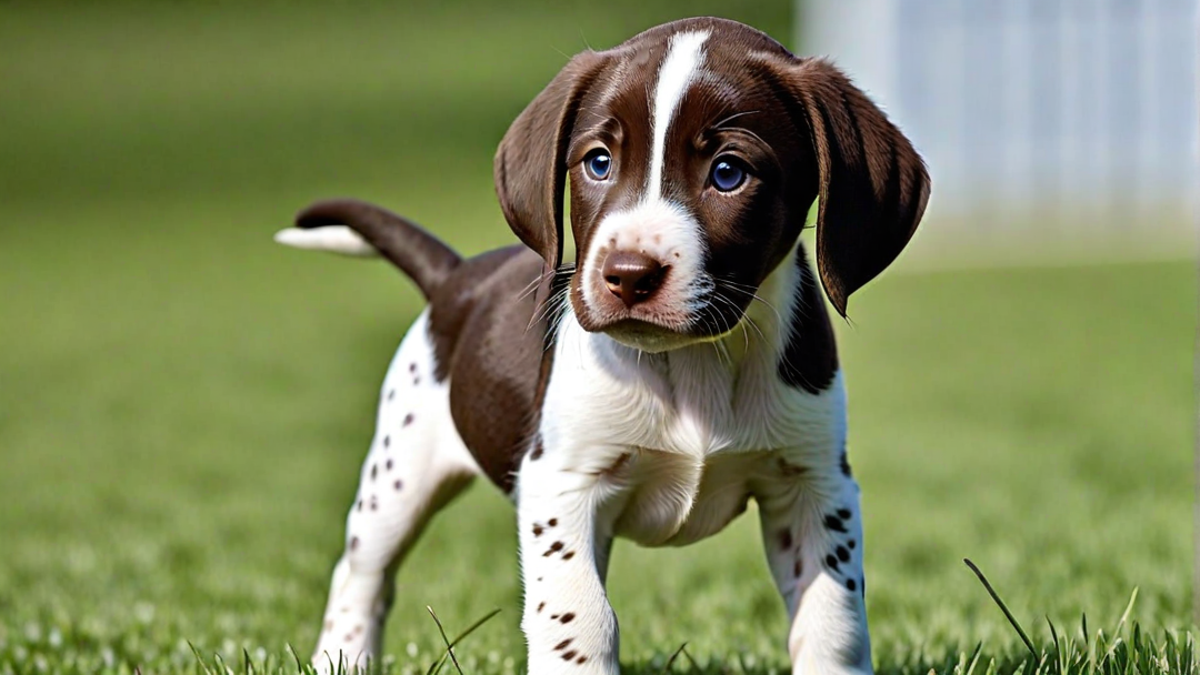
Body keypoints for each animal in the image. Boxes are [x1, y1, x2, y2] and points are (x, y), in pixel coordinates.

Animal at [278, 15, 926, 672]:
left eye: (728, 172)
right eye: (597, 162)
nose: (629, 273)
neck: (691, 361)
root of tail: (454, 278)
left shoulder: (814, 482)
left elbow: (832, 619)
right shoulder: (561, 481)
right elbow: (578, 615)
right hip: (400, 473)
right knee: (363, 574)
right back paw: (343, 654)